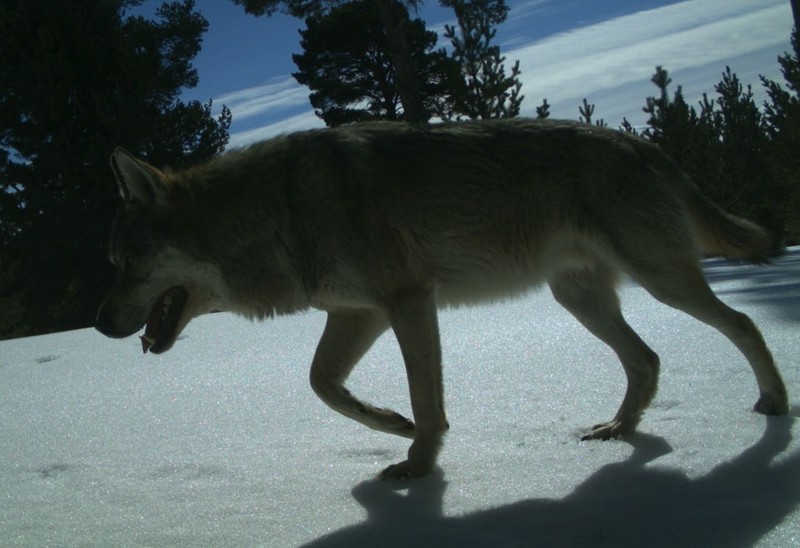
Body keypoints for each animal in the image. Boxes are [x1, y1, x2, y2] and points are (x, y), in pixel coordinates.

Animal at [94, 117, 788, 478]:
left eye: (125, 264)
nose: (98, 325)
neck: (279, 212)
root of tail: (642, 141)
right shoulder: (357, 313)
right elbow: (322, 385)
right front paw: (390, 423)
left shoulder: (406, 301)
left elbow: (426, 400)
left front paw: (419, 463)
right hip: (579, 299)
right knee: (647, 359)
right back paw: (620, 429)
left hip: (661, 280)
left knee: (745, 324)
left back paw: (774, 407)